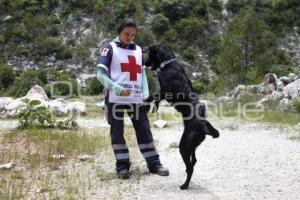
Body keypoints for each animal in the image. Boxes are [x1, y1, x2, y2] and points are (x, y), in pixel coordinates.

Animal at [144, 44, 219, 190]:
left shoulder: (165, 91)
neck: (168, 64)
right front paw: (153, 106)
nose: (145, 63)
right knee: (193, 161)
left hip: (184, 146)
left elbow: (153, 95)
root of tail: (203, 125)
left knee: (190, 168)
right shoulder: (163, 92)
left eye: (149, 54)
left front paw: (147, 102)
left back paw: (185, 185)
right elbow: (155, 98)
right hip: (191, 147)